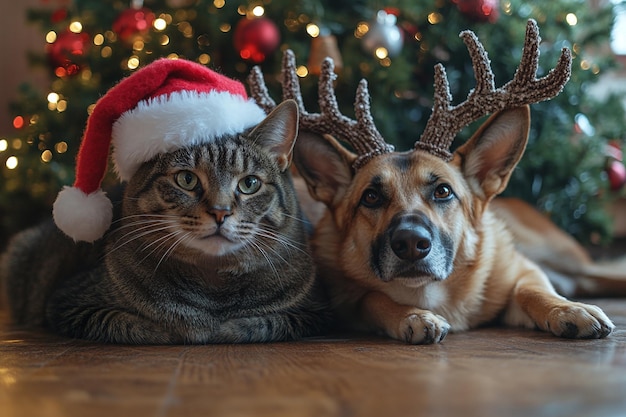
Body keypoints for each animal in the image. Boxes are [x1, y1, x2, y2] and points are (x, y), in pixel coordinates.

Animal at [0, 99, 330, 342]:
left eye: (249, 184)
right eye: (186, 179)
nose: (220, 211)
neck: (213, 290)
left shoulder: (313, 312)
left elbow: (262, 323)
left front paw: (222, 328)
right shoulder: (67, 301)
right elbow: (132, 325)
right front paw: (182, 329)